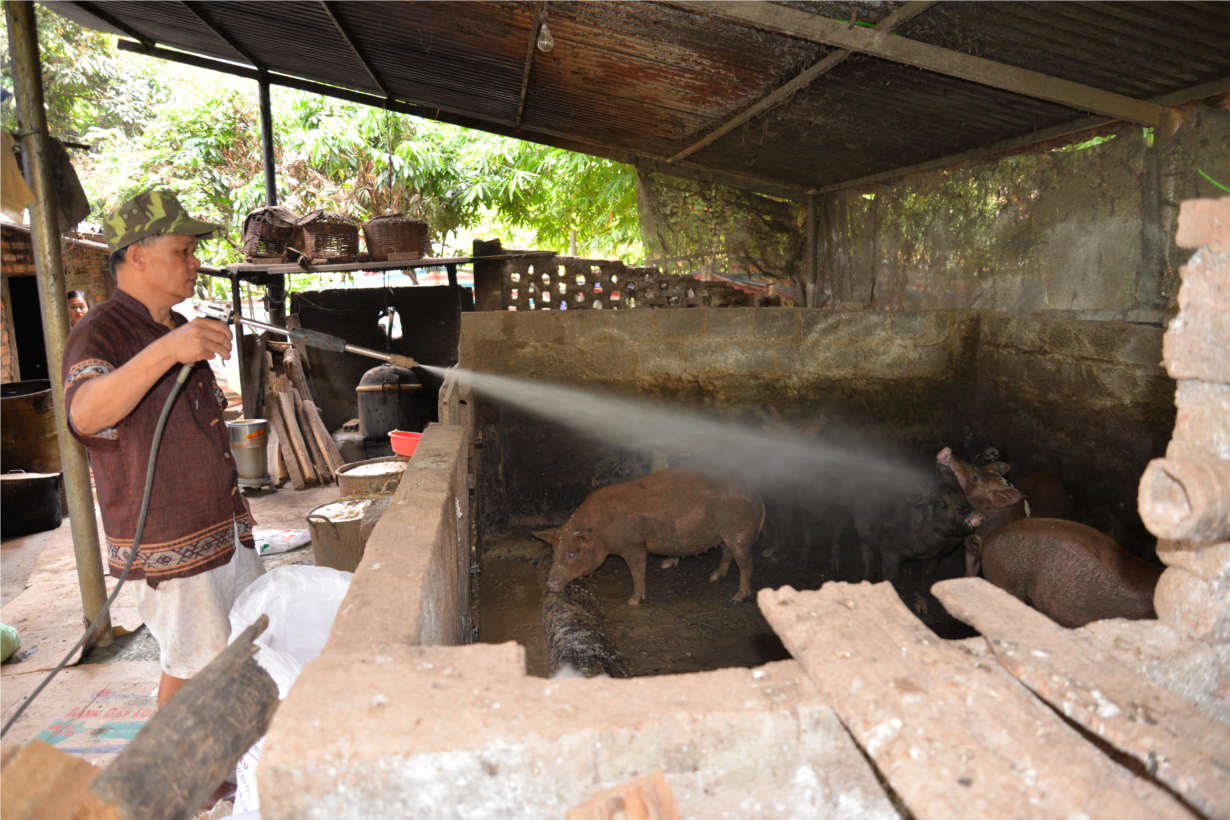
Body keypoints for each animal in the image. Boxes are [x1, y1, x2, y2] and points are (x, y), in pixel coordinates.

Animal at [533, 467, 762, 602]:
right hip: (722, 534)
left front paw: (633, 601)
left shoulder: (634, 544)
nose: (550, 584)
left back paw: (737, 598)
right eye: (554, 552)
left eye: (571, 554)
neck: (602, 533)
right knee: (727, 553)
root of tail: (755, 495)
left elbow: (637, 571)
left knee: (747, 562)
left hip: (740, 531)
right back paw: (712, 577)